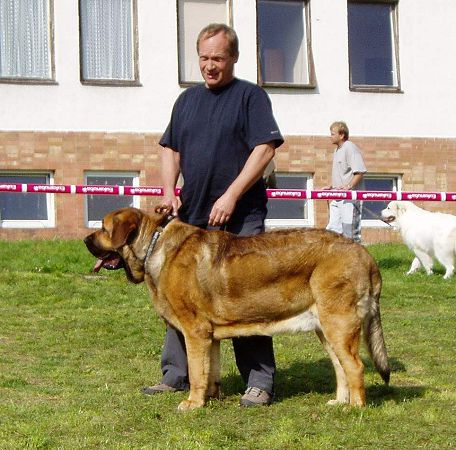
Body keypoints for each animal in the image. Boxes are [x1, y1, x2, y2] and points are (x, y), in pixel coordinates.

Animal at [83, 207, 390, 412]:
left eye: (103, 229)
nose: (86, 240)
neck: (154, 246)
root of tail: (366, 256)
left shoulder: (195, 332)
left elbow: (196, 372)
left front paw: (192, 404)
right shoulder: (209, 336)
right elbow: (210, 370)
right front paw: (209, 398)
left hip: (339, 324)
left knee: (355, 366)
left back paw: (355, 408)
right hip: (325, 329)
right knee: (340, 367)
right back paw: (339, 402)